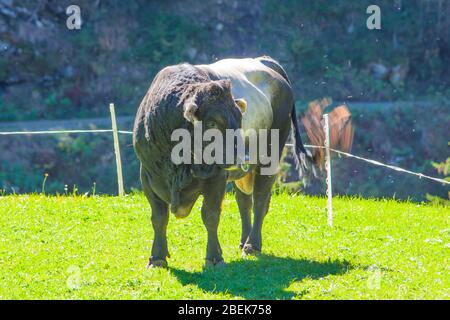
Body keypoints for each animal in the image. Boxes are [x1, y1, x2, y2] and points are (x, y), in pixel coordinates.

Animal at [134, 55, 316, 268]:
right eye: (212, 123)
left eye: (239, 120)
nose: (242, 157)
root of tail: (262, 61)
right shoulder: (147, 176)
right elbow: (158, 217)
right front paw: (157, 258)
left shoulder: (217, 177)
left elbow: (210, 215)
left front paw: (214, 257)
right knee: (244, 202)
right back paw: (244, 240)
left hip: (269, 158)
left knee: (260, 201)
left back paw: (251, 245)